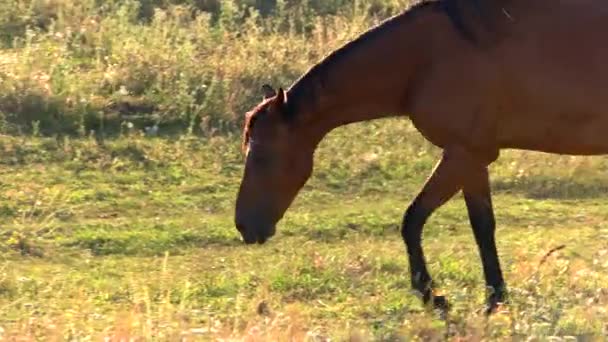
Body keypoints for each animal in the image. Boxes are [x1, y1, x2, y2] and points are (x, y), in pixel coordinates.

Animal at [235, 0, 608, 316]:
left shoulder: (463, 154)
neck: (426, 58)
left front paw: (433, 295)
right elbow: (481, 226)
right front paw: (492, 298)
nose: (244, 225)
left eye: (263, 156)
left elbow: (414, 220)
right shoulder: (473, 159)